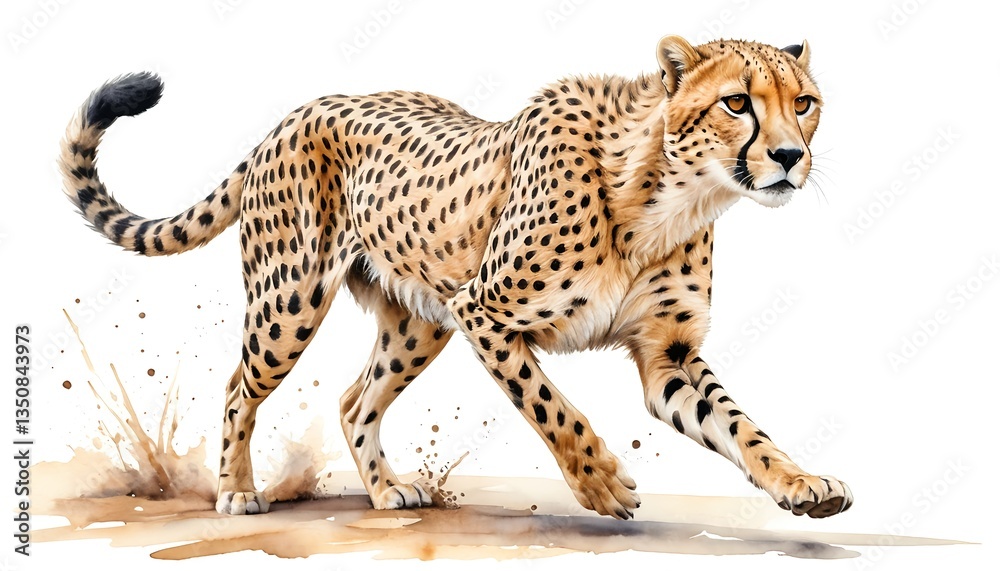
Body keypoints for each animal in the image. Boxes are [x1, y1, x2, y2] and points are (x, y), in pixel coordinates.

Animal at [58, 35, 852, 520]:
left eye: (804, 102)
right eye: (737, 102)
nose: (789, 156)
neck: (666, 195)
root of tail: (297, 111)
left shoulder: (668, 358)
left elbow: (742, 426)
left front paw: (802, 483)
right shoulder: (484, 311)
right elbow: (552, 408)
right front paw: (601, 482)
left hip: (417, 323)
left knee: (353, 400)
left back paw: (385, 491)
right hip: (292, 301)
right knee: (236, 388)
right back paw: (236, 491)